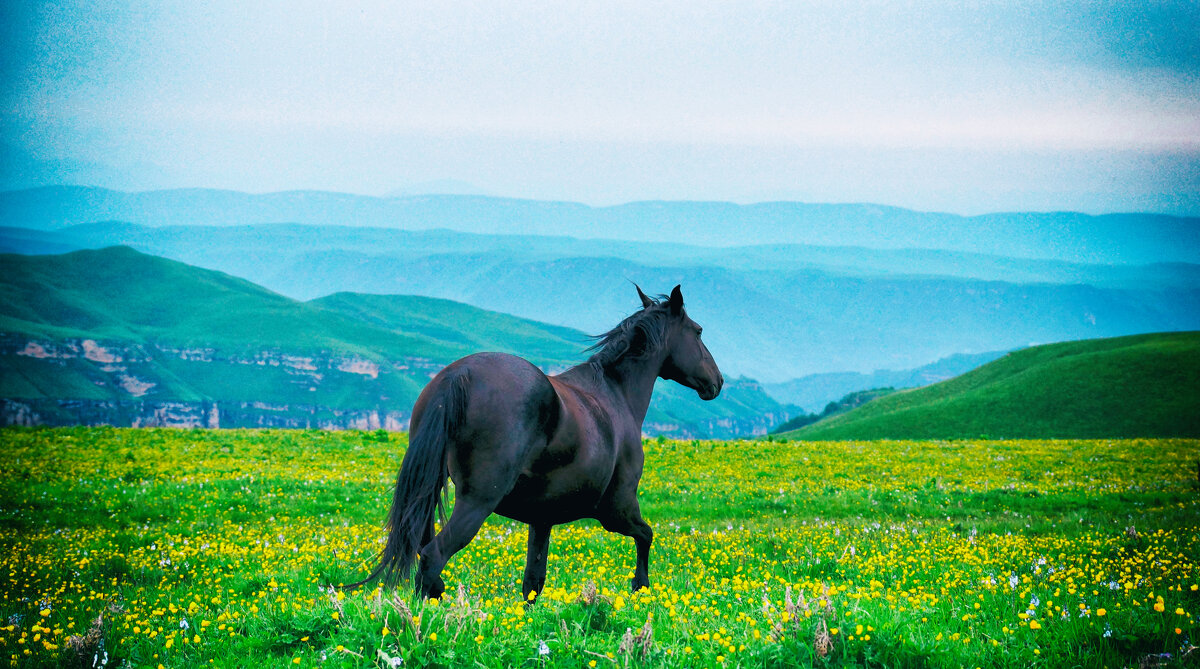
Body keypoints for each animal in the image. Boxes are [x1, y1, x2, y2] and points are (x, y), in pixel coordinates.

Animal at [348, 284, 720, 604]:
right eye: (699, 331)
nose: (716, 383)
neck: (616, 396)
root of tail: (458, 376)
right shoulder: (617, 509)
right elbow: (647, 535)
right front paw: (640, 587)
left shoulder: (542, 520)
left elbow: (533, 582)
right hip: (478, 501)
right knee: (433, 556)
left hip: (431, 489)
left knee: (421, 548)